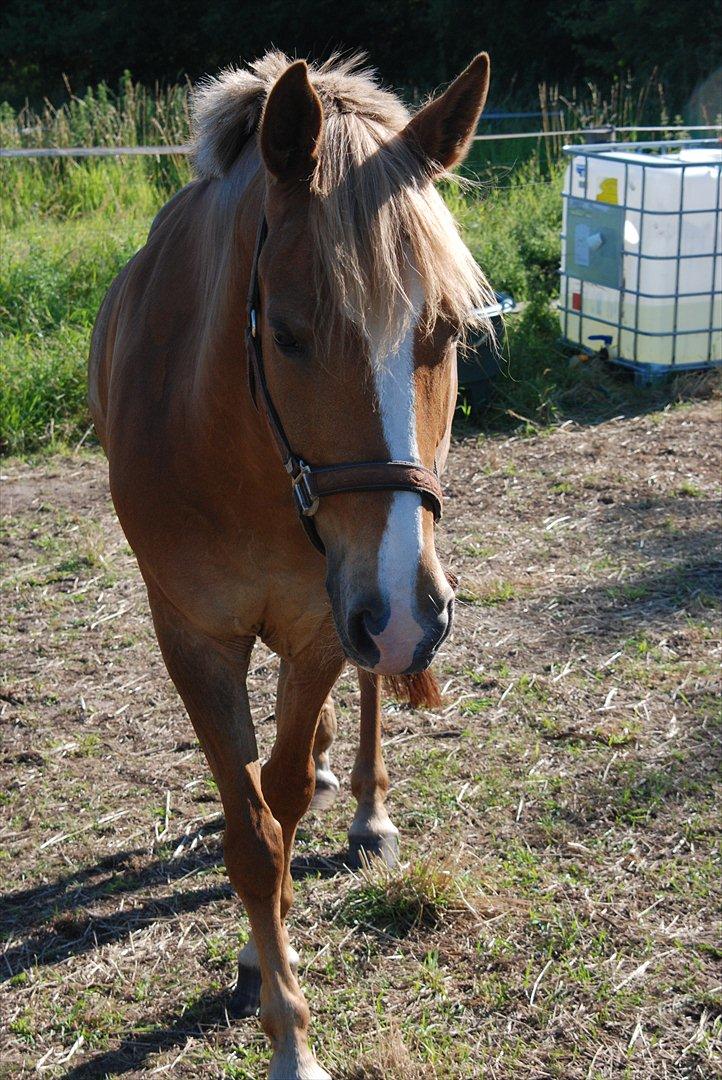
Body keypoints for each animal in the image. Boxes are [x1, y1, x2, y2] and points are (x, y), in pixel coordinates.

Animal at [88, 50, 489, 1080]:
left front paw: (280, 1002)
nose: (410, 618)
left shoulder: (322, 622)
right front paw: (279, 1011)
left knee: (367, 693)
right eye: (291, 333)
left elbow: (282, 801)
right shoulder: (193, 638)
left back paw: (366, 808)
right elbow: (251, 835)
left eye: (445, 332)